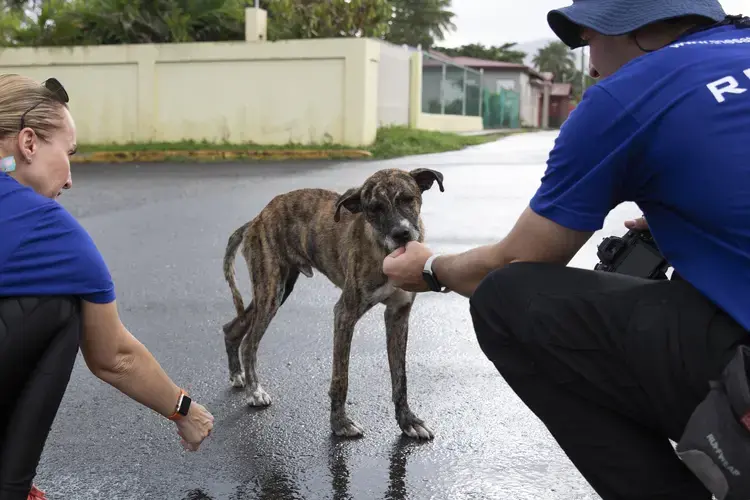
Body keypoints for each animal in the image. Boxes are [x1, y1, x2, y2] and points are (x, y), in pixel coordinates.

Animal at [223, 167, 446, 438]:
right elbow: (341, 377)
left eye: (408, 199)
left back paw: (238, 375)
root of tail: (257, 218)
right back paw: (254, 390)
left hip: (277, 289)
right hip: (271, 291)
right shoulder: (345, 313)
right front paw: (340, 423)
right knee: (249, 343)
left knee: (232, 328)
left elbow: (400, 376)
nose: (401, 235)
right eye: (374, 208)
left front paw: (408, 421)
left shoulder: (398, 313)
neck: (384, 251)